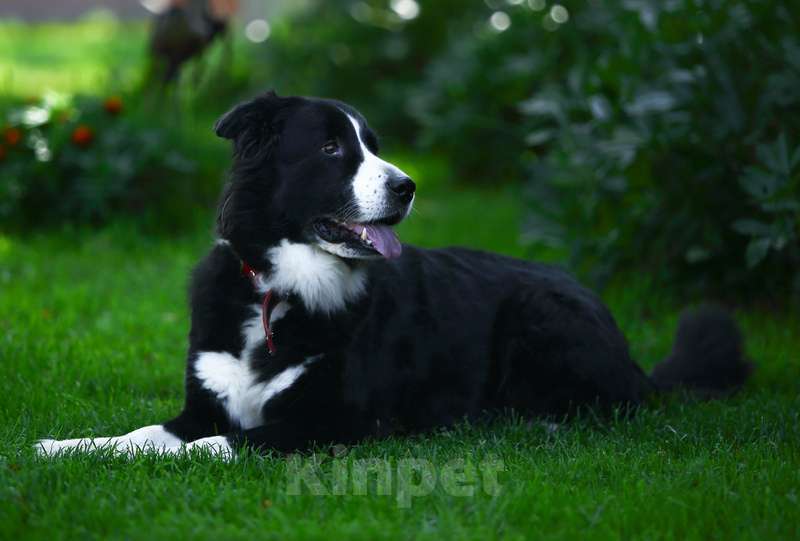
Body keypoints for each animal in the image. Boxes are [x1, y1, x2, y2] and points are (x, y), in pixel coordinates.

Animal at [34, 92, 752, 456]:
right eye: (331, 148)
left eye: (372, 145)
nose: (408, 187)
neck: (281, 287)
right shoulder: (201, 401)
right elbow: (140, 436)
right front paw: (59, 447)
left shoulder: (330, 422)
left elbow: (213, 445)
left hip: (539, 314)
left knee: (610, 405)